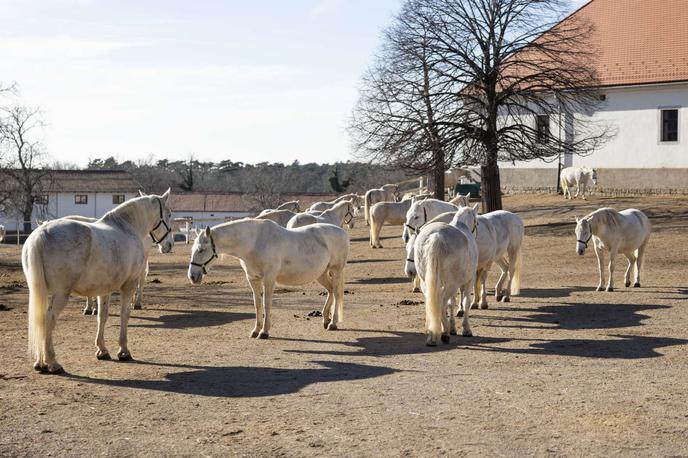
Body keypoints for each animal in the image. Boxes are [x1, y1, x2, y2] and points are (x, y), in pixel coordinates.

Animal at [24, 190, 175, 372]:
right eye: (169, 214)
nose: (169, 244)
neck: (127, 227)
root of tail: (42, 232)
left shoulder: (104, 290)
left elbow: (102, 316)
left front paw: (102, 350)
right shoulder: (129, 285)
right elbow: (124, 314)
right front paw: (123, 350)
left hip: (40, 291)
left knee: (39, 319)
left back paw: (40, 362)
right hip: (61, 294)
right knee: (49, 319)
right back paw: (52, 362)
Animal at [188, 218, 350, 336]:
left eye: (201, 250)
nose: (192, 276)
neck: (254, 243)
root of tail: (341, 231)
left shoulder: (269, 278)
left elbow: (267, 304)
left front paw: (264, 332)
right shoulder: (253, 279)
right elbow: (257, 304)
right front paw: (255, 330)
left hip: (336, 270)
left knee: (336, 293)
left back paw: (333, 323)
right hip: (321, 274)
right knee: (330, 291)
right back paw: (325, 319)